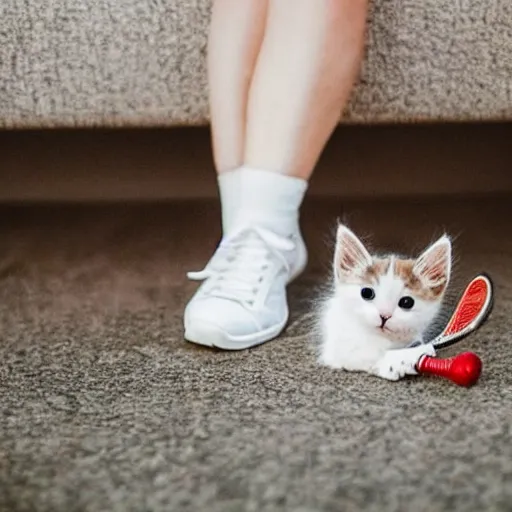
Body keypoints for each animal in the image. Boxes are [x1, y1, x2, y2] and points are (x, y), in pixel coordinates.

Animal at [320, 224, 452, 380]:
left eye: (407, 302)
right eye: (367, 293)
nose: (384, 316)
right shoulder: (337, 348)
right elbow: (363, 355)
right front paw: (397, 361)